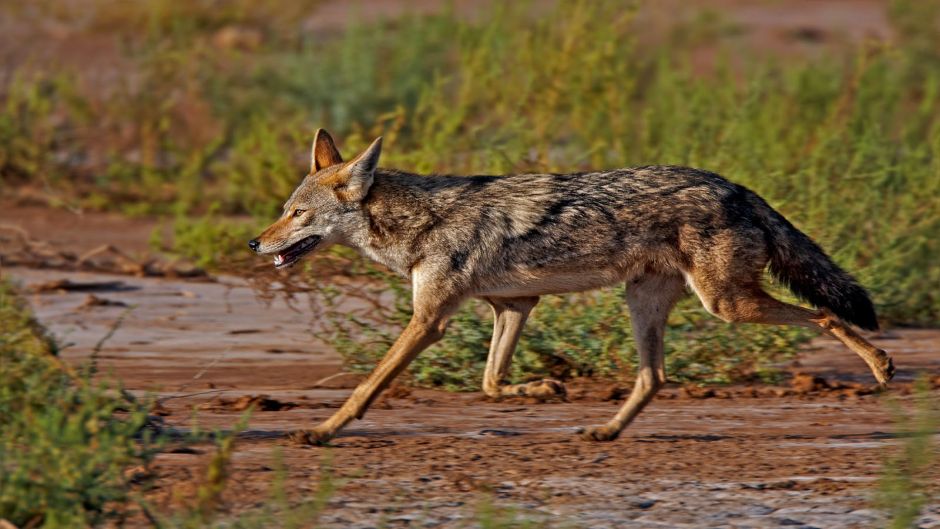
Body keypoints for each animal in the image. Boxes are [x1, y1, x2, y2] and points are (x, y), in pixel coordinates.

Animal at [249, 129, 894, 444]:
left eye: (297, 215)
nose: (255, 243)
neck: (420, 222)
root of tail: (737, 186)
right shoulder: (515, 304)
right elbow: (489, 382)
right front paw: (542, 391)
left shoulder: (429, 321)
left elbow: (367, 387)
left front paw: (322, 432)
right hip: (647, 303)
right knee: (654, 378)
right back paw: (605, 431)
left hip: (726, 305)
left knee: (827, 316)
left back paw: (883, 365)